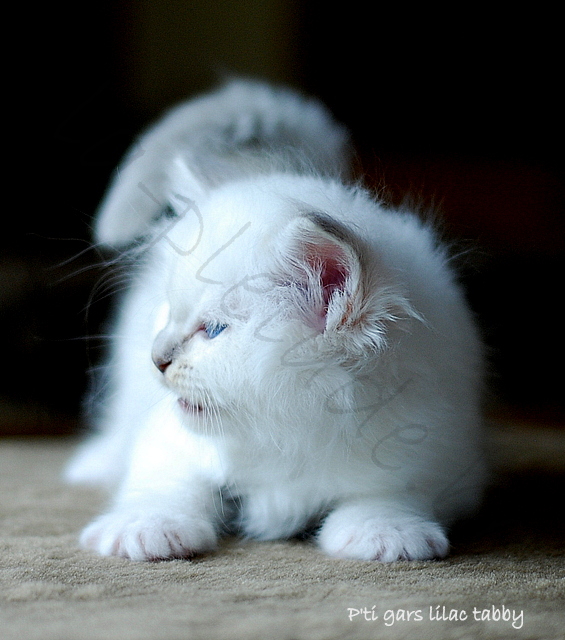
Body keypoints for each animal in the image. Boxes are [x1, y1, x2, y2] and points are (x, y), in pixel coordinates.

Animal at [66, 79, 484, 560]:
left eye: (213, 330)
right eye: (168, 312)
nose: (158, 358)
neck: (287, 440)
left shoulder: (435, 447)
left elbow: (388, 493)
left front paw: (385, 533)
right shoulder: (168, 438)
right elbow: (166, 483)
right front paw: (145, 528)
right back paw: (95, 463)